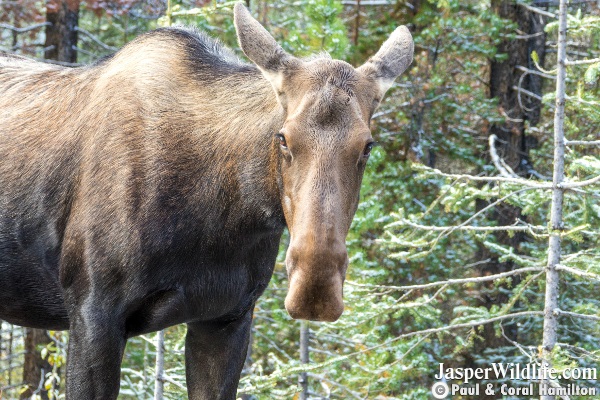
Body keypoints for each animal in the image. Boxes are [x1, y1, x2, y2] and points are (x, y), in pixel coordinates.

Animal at [0, 3, 412, 400]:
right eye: (283, 137)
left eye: (367, 145)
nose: (316, 287)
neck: (226, 218)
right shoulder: (92, 313)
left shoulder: (227, 317)